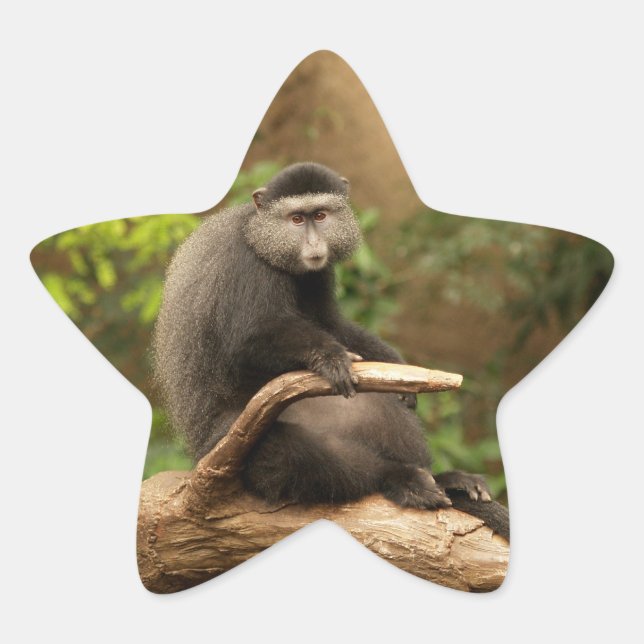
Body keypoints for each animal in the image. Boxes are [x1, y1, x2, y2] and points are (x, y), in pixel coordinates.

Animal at [153, 162, 509, 539]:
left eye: (320, 216)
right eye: (297, 219)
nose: (313, 242)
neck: (259, 235)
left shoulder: (318, 274)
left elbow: (331, 322)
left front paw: (396, 367)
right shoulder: (246, 266)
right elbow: (248, 341)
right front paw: (329, 357)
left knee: (378, 408)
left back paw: (445, 479)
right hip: (232, 443)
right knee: (293, 455)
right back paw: (400, 479)